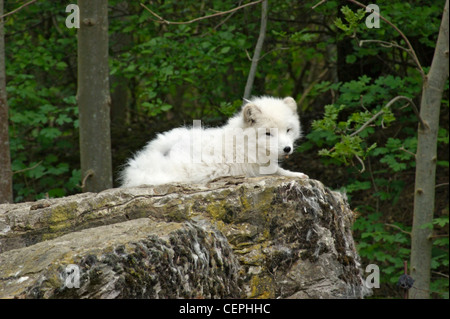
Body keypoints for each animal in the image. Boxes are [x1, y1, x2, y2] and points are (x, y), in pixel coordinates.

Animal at [119, 96, 310, 189]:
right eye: (268, 133)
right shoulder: (255, 168)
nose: (287, 149)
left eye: (288, 130)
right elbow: (279, 171)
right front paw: (296, 174)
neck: (245, 141)